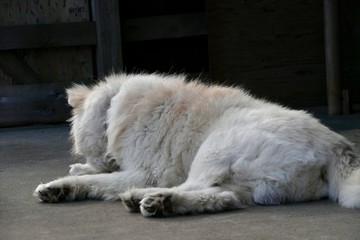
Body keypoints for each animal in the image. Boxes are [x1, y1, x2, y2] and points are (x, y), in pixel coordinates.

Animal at [34, 72, 360, 217]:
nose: (100, 160)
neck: (112, 108)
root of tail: (337, 145)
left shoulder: (146, 171)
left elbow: (99, 181)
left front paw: (59, 185)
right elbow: (95, 176)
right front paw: (73, 175)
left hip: (215, 147)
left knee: (193, 186)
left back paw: (146, 197)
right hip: (249, 181)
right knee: (224, 198)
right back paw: (161, 202)